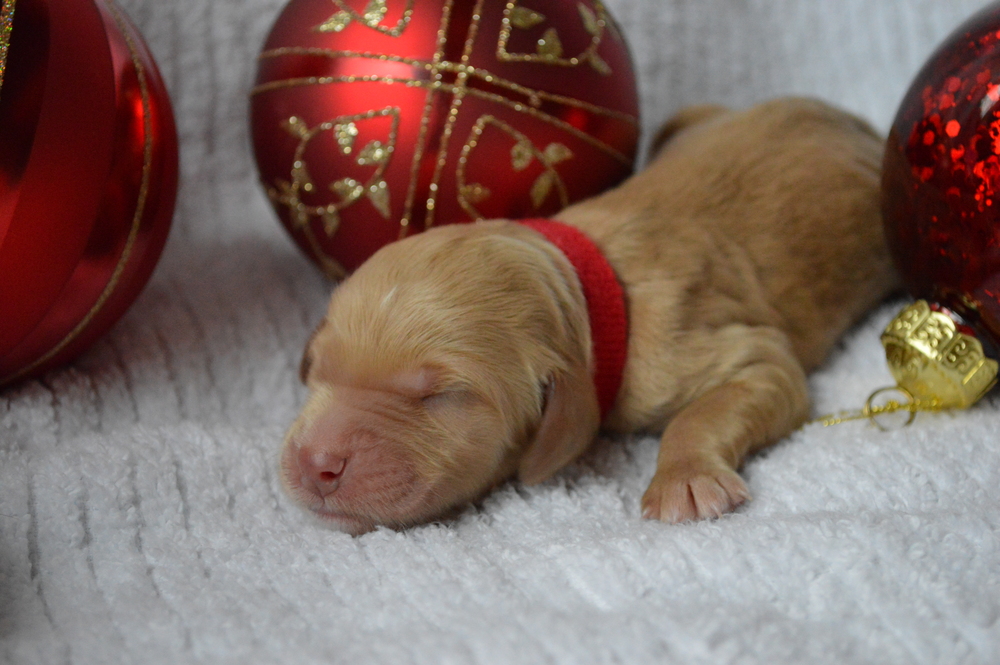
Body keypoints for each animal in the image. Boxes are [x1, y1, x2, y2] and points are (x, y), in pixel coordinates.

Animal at [280, 98, 900, 536]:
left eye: (439, 396)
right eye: (317, 370)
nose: (316, 464)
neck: (588, 283)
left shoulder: (730, 352)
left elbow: (711, 405)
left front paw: (685, 480)